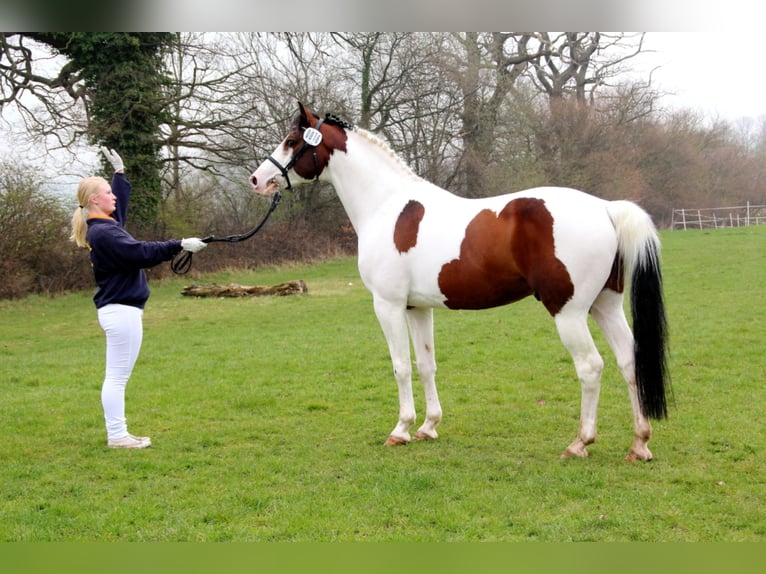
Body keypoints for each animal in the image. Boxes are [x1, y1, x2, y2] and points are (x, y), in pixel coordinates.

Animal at [249, 102, 670, 461]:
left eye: (291, 141)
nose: (257, 179)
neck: (386, 206)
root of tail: (606, 208)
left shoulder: (387, 305)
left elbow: (400, 365)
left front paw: (400, 430)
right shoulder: (417, 308)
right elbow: (425, 364)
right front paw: (427, 427)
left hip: (569, 312)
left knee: (591, 367)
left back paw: (579, 443)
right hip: (605, 304)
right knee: (629, 361)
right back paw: (639, 444)